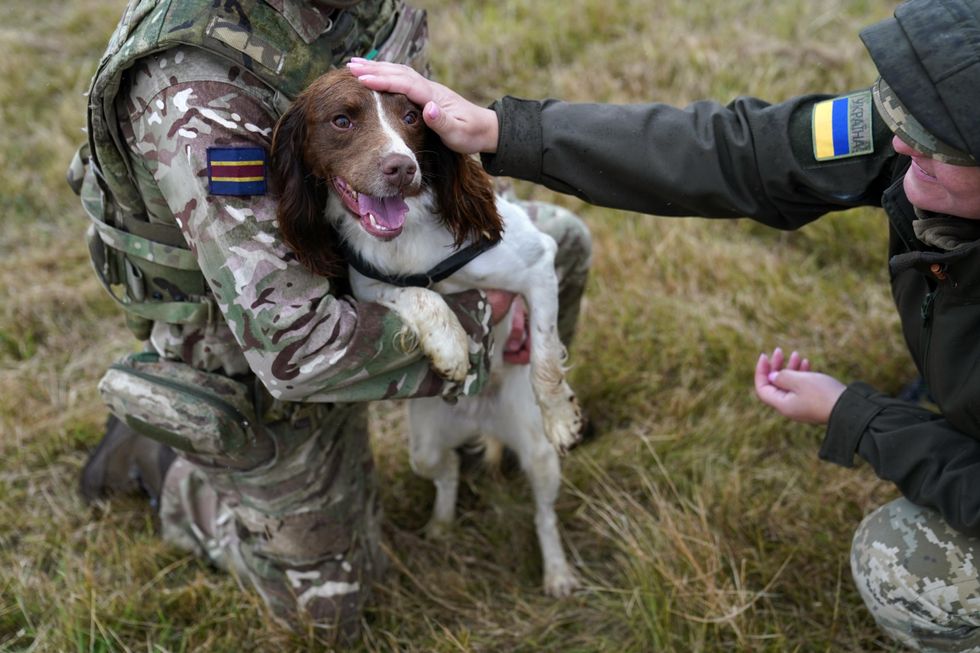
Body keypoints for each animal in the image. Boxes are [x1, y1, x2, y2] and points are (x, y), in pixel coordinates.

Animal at [270, 69, 580, 592]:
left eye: (414, 116)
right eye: (341, 120)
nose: (402, 168)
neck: (410, 234)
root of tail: (480, 419)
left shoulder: (537, 263)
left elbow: (543, 358)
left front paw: (561, 417)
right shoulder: (366, 287)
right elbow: (419, 295)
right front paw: (451, 344)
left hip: (536, 457)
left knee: (544, 514)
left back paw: (557, 571)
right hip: (425, 446)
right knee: (449, 469)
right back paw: (441, 524)